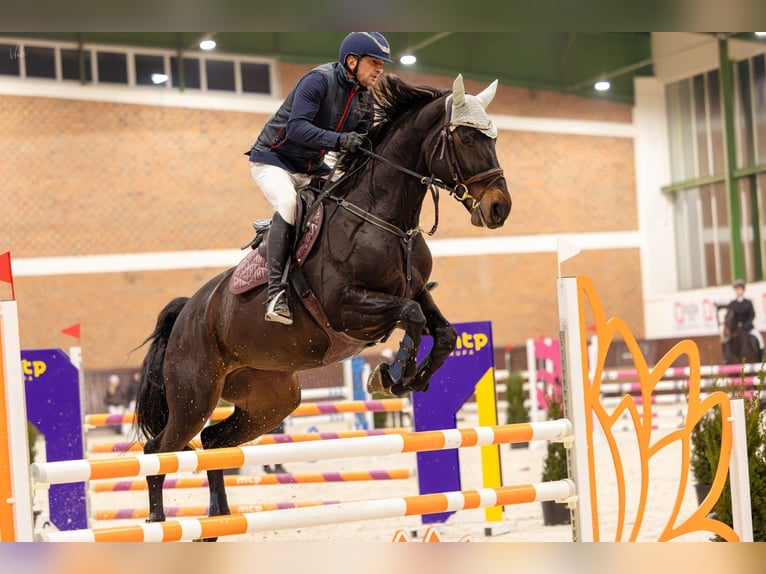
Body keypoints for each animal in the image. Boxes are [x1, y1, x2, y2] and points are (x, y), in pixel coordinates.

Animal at [134, 73, 512, 540]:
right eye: (465, 137)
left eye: (494, 137)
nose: (499, 208)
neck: (383, 218)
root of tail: (188, 312)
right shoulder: (347, 307)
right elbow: (411, 317)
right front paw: (392, 375)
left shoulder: (417, 290)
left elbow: (443, 332)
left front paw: (408, 378)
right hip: (193, 396)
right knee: (159, 449)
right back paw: (157, 522)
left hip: (270, 400)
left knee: (211, 444)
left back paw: (216, 521)